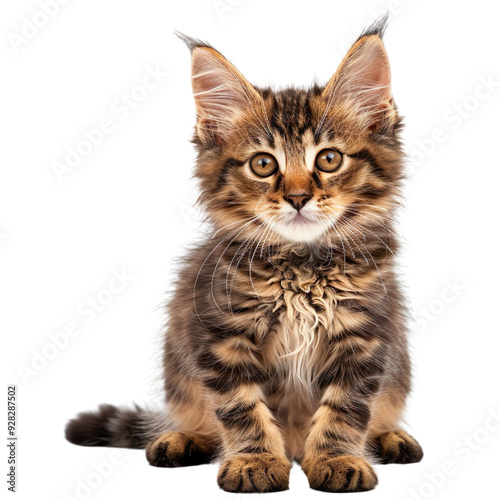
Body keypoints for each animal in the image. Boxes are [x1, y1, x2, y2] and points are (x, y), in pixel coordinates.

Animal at [66, 14, 424, 492]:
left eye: (329, 159)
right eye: (263, 164)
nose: (297, 198)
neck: (300, 266)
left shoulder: (365, 335)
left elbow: (345, 408)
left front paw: (336, 458)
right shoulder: (221, 334)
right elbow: (241, 408)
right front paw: (255, 460)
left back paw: (389, 437)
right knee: (195, 416)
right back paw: (182, 438)